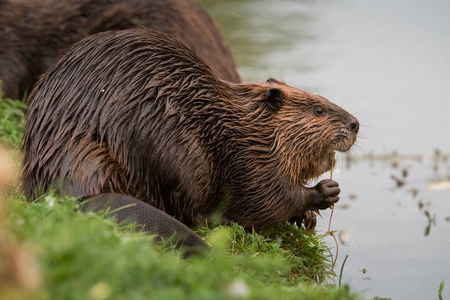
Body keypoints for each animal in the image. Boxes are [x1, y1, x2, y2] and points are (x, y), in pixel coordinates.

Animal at [21, 28, 358, 248]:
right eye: (318, 109)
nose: (355, 124)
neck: (245, 127)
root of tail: (81, 193)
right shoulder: (249, 162)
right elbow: (268, 200)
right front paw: (324, 193)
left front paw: (308, 217)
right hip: (177, 153)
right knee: (194, 212)